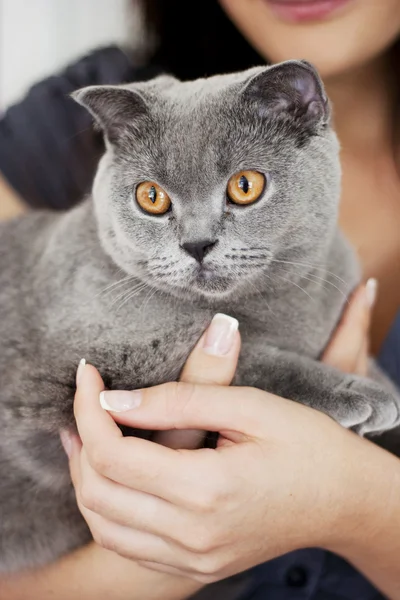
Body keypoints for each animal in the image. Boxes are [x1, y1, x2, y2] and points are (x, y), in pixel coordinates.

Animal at [0, 59, 400, 572]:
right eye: (151, 197)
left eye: (245, 186)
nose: (196, 243)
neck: (281, 306)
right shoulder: (91, 366)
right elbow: (251, 362)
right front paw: (356, 392)